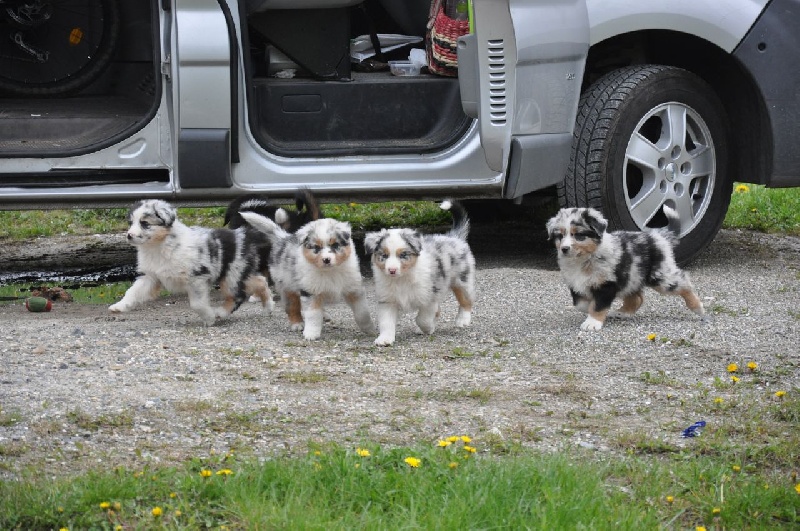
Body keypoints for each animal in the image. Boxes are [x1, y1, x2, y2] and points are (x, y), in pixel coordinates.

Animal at [108, 198, 276, 324]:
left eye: (145, 223)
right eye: (131, 223)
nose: (129, 236)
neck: (158, 246)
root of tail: (246, 234)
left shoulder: (197, 278)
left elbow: (197, 304)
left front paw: (209, 317)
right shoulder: (151, 277)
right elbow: (133, 292)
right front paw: (119, 306)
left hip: (231, 276)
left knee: (237, 296)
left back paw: (220, 313)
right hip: (235, 273)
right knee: (260, 281)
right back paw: (268, 307)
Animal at [239, 212, 374, 340]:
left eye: (335, 245)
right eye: (317, 248)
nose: (326, 260)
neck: (330, 271)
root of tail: (284, 239)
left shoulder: (354, 289)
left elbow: (362, 312)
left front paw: (369, 329)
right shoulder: (310, 291)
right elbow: (313, 314)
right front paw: (311, 334)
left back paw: (324, 315)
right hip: (287, 285)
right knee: (292, 306)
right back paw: (297, 323)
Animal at [362, 202, 476, 348]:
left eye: (403, 255)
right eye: (384, 256)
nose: (392, 270)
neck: (402, 279)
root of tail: (453, 237)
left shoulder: (429, 296)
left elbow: (423, 319)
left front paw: (428, 328)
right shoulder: (387, 300)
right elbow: (386, 322)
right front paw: (385, 339)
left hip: (462, 279)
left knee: (466, 300)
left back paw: (463, 320)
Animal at [544, 206, 708, 330]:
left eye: (578, 235)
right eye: (560, 236)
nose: (564, 249)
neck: (583, 260)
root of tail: (657, 237)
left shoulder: (606, 284)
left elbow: (597, 305)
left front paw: (592, 323)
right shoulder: (575, 284)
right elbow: (581, 304)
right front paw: (590, 311)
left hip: (660, 276)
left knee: (684, 283)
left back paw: (698, 308)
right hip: (632, 276)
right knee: (637, 298)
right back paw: (622, 312)